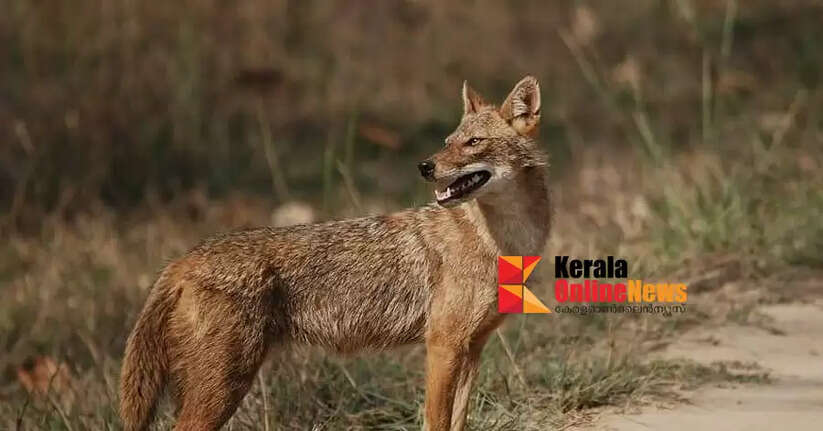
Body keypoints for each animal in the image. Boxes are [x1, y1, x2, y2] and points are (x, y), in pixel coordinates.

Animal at [120, 76, 551, 431]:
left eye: (474, 142)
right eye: (448, 142)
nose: (425, 166)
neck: (502, 243)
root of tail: (183, 259)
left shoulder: (471, 348)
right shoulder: (442, 346)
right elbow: (436, 422)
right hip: (224, 387)